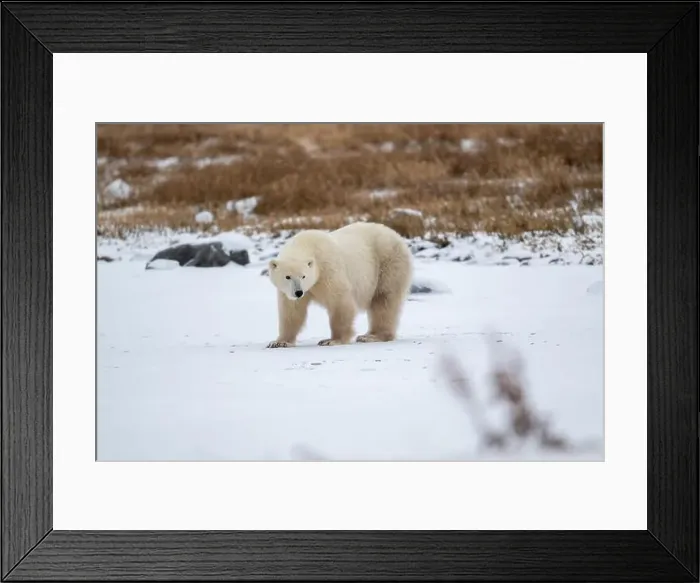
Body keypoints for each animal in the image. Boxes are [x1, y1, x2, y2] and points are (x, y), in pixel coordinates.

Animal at [266, 222, 413, 348]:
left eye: (303, 276)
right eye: (287, 276)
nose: (298, 292)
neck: (306, 244)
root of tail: (397, 236)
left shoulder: (327, 269)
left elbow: (340, 302)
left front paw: (332, 340)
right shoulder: (290, 292)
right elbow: (292, 311)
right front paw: (279, 342)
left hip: (388, 263)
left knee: (383, 300)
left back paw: (372, 336)